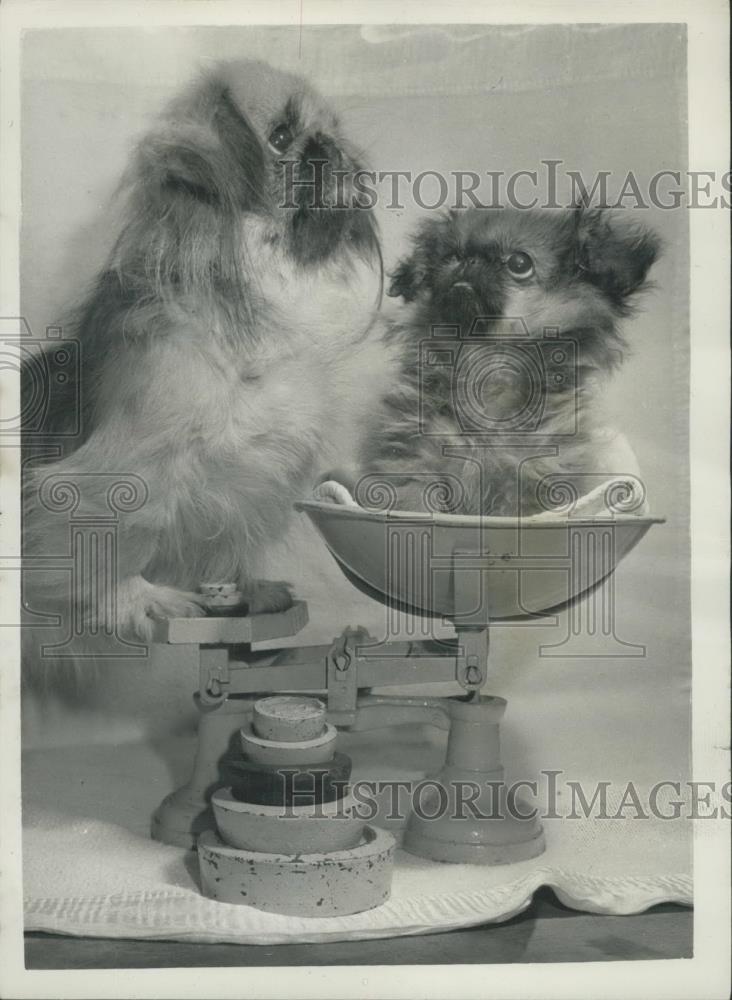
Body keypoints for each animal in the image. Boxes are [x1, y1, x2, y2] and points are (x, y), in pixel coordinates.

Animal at [22, 62, 384, 656]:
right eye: (280, 137)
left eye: (330, 132)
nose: (327, 146)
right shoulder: (114, 476)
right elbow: (110, 550)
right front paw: (138, 599)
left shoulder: (246, 484)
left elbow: (221, 545)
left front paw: (242, 592)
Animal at [352, 203, 660, 516]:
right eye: (450, 256)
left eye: (519, 263)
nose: (468, 260)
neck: (486, 358)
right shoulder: (417, 463)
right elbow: (415, 502)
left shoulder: (529, 482)